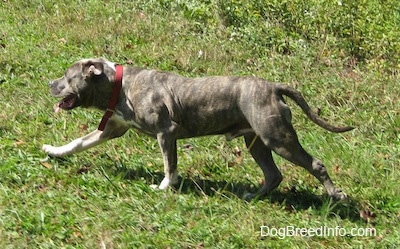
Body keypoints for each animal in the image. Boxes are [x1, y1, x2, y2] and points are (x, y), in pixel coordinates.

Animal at [43, 57, 354, 200]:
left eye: (67, 77)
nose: (49, 83)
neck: (119, 85)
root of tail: (273, 87)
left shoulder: (166, 132)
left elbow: (169, 165)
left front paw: (164, 186)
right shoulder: (111, 129)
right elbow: (77, 142)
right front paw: (54, 151)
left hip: (277, 138)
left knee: (315, 164)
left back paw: (335, 195)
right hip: (257, 142)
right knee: (273, 174)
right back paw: (254, 196)